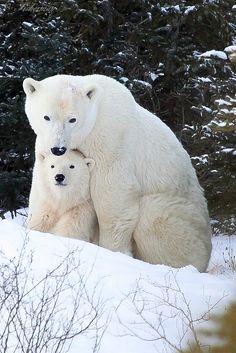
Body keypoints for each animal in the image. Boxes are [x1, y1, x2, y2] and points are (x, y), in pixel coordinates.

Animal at [23, 74, 212, 270]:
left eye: (72, 119)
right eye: (46, 117)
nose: (58, 149)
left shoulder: (110, 140)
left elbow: (113, 193)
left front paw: (114, 252)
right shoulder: (43, 143)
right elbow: (41, 186)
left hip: (185, 220)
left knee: (153, 216)